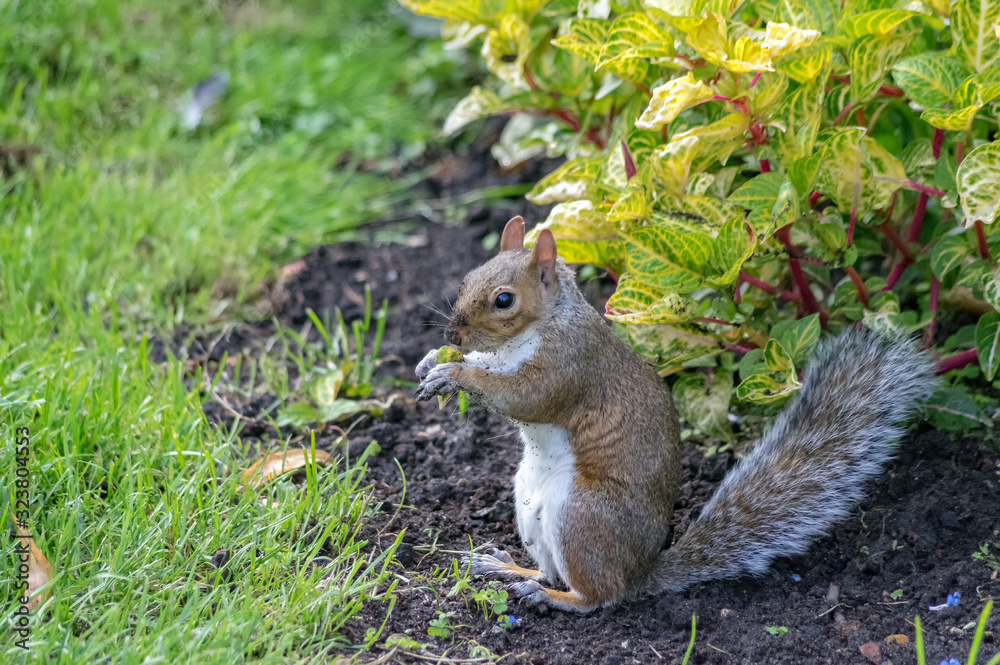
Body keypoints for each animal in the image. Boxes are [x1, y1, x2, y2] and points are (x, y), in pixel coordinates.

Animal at [415, 215, 937, 614]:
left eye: (504, 300)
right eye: (465, 280)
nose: (453, 334)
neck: (537, 328)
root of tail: (641, 571)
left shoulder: (569, 366)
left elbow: (524, 396)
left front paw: (455, 373)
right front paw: (433, 359)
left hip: (583, 515)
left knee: (599, 595)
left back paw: (553, 597)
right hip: (530, 506)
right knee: (550, 570)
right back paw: (506, 567)